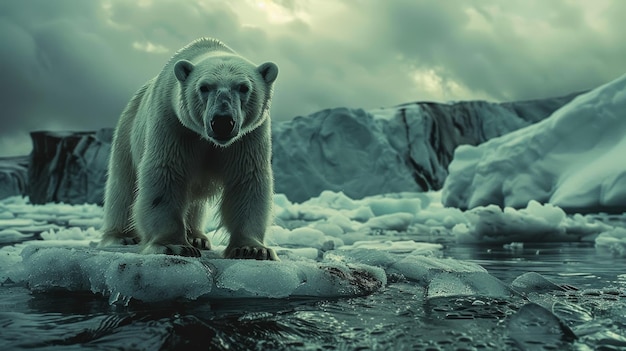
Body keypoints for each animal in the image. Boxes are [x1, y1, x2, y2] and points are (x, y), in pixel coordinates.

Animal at [99, 38, 276, 260]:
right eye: (204, 87)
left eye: (244, 87)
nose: (222, 122)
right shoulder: (173, 124)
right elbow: (166, 173)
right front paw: (174, 245)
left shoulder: (248, 137)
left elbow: (247, 180)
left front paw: (252, 249)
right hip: (127, 133)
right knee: (123, 186)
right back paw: (121, 237)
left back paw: (197, 237)